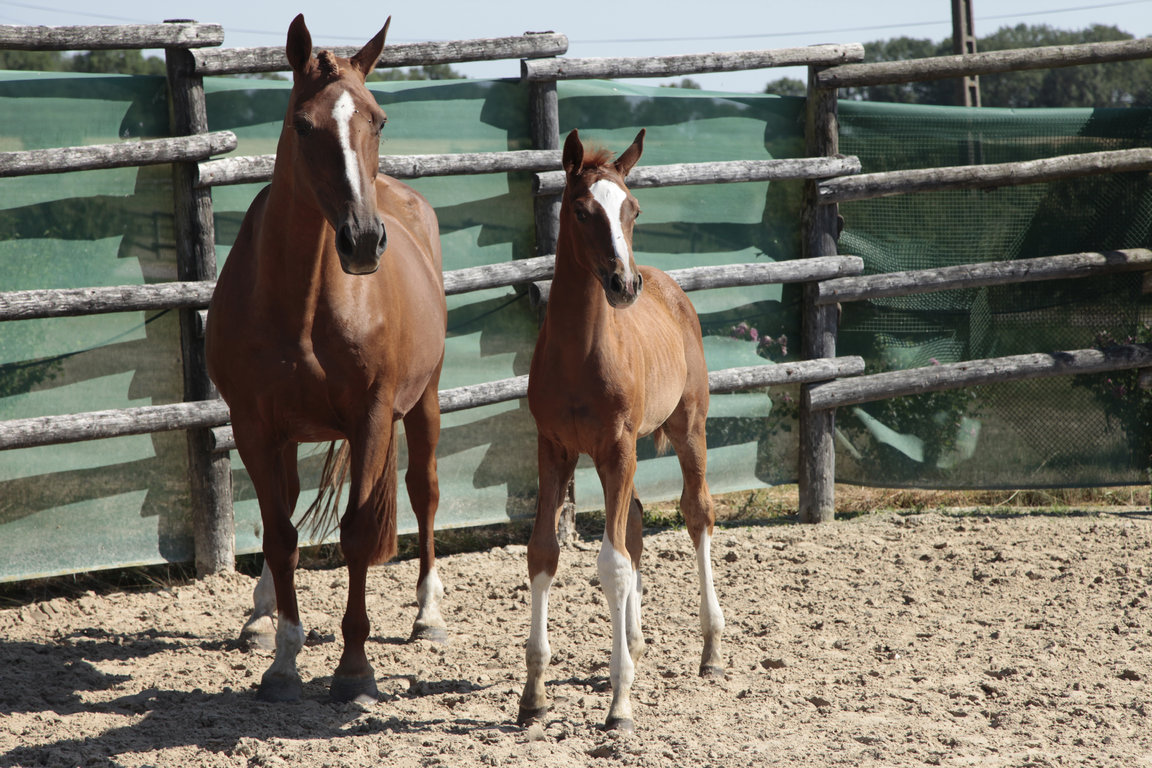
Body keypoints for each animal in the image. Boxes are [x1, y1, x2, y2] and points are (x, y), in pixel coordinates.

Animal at [205, 15, 446, 704]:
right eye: (302, 124)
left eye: (379, 120)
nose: (363, 239)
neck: (303, 303)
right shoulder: (254, 426)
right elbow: (280, 534)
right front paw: (284, 660)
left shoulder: (371, 418)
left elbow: (358, 534)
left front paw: (355, 670)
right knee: (280, 511)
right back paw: (261, 617)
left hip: (424, 402)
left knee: (424, 492)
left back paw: (428, 615)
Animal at [523, 128, 728, 732]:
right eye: (582, 209)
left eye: (633, 209)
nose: (623, 283)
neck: (579, 353)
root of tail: (665, 283)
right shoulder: (555, 449)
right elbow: (543, 552)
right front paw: (533, 695)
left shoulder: (615, 448)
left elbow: (611, 565)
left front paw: (620, 705)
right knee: (634, 519)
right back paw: (634, 642)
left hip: (687, 429)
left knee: (696, 513)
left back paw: (710, 649)